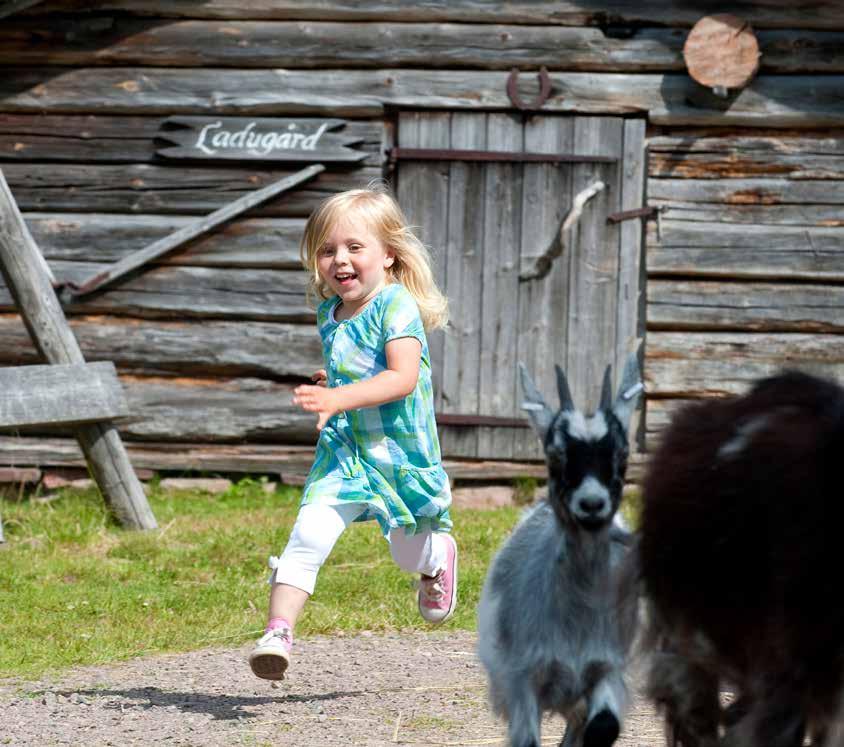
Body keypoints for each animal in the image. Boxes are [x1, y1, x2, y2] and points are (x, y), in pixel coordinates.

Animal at [478, 356, 644, 747]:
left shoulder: (609, 668)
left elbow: (604, 727)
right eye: (555, 456)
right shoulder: (520, 678)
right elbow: (527, 740)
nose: (592, 505)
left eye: (622, 455)